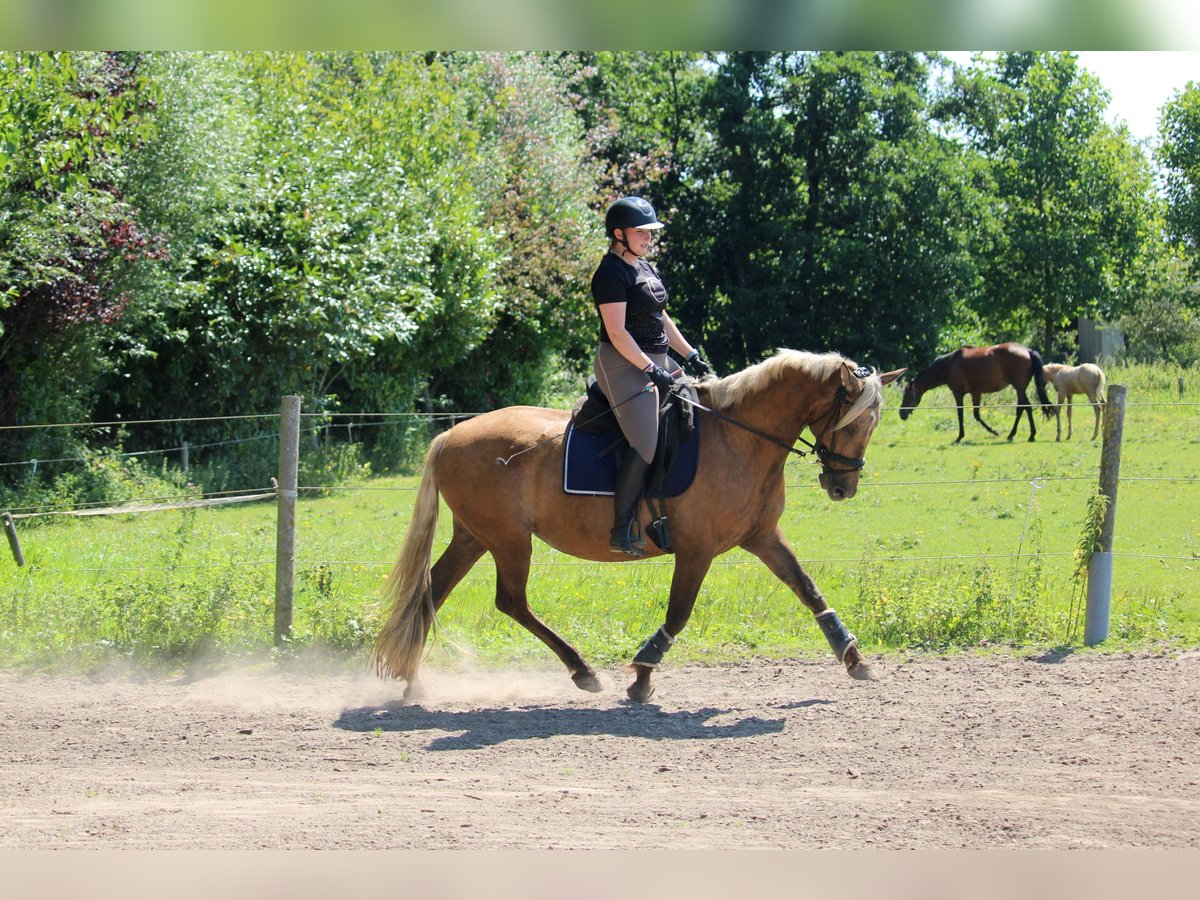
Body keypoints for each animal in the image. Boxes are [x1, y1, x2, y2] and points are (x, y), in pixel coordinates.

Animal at [372, 348, 902, 710]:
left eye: (873, 426)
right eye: (853, 423)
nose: (843, 486)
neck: (738, 438)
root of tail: (450, 434)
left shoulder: (764, 538)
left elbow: (808, 590)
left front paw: (855, 658)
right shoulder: (696, 550)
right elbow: (679, 613)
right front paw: (642, 676)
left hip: (474, 537)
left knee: (433, 591)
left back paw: (414, 681)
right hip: (507, 539)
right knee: (509, 602)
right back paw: (582, 670)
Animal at [902, 340, 1051, 444]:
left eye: (907, 396)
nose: (901, 414)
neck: (949, 364)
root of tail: (1027, 350)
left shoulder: (958, 393)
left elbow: (960, 414)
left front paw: (959, 437)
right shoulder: (976, 392)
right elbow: (976, 415)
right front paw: (993, 431)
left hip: (1019, 387)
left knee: (1023, 407)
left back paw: (1019, 435)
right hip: (1020, 388)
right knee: (1025, 407)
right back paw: (1025, 435)